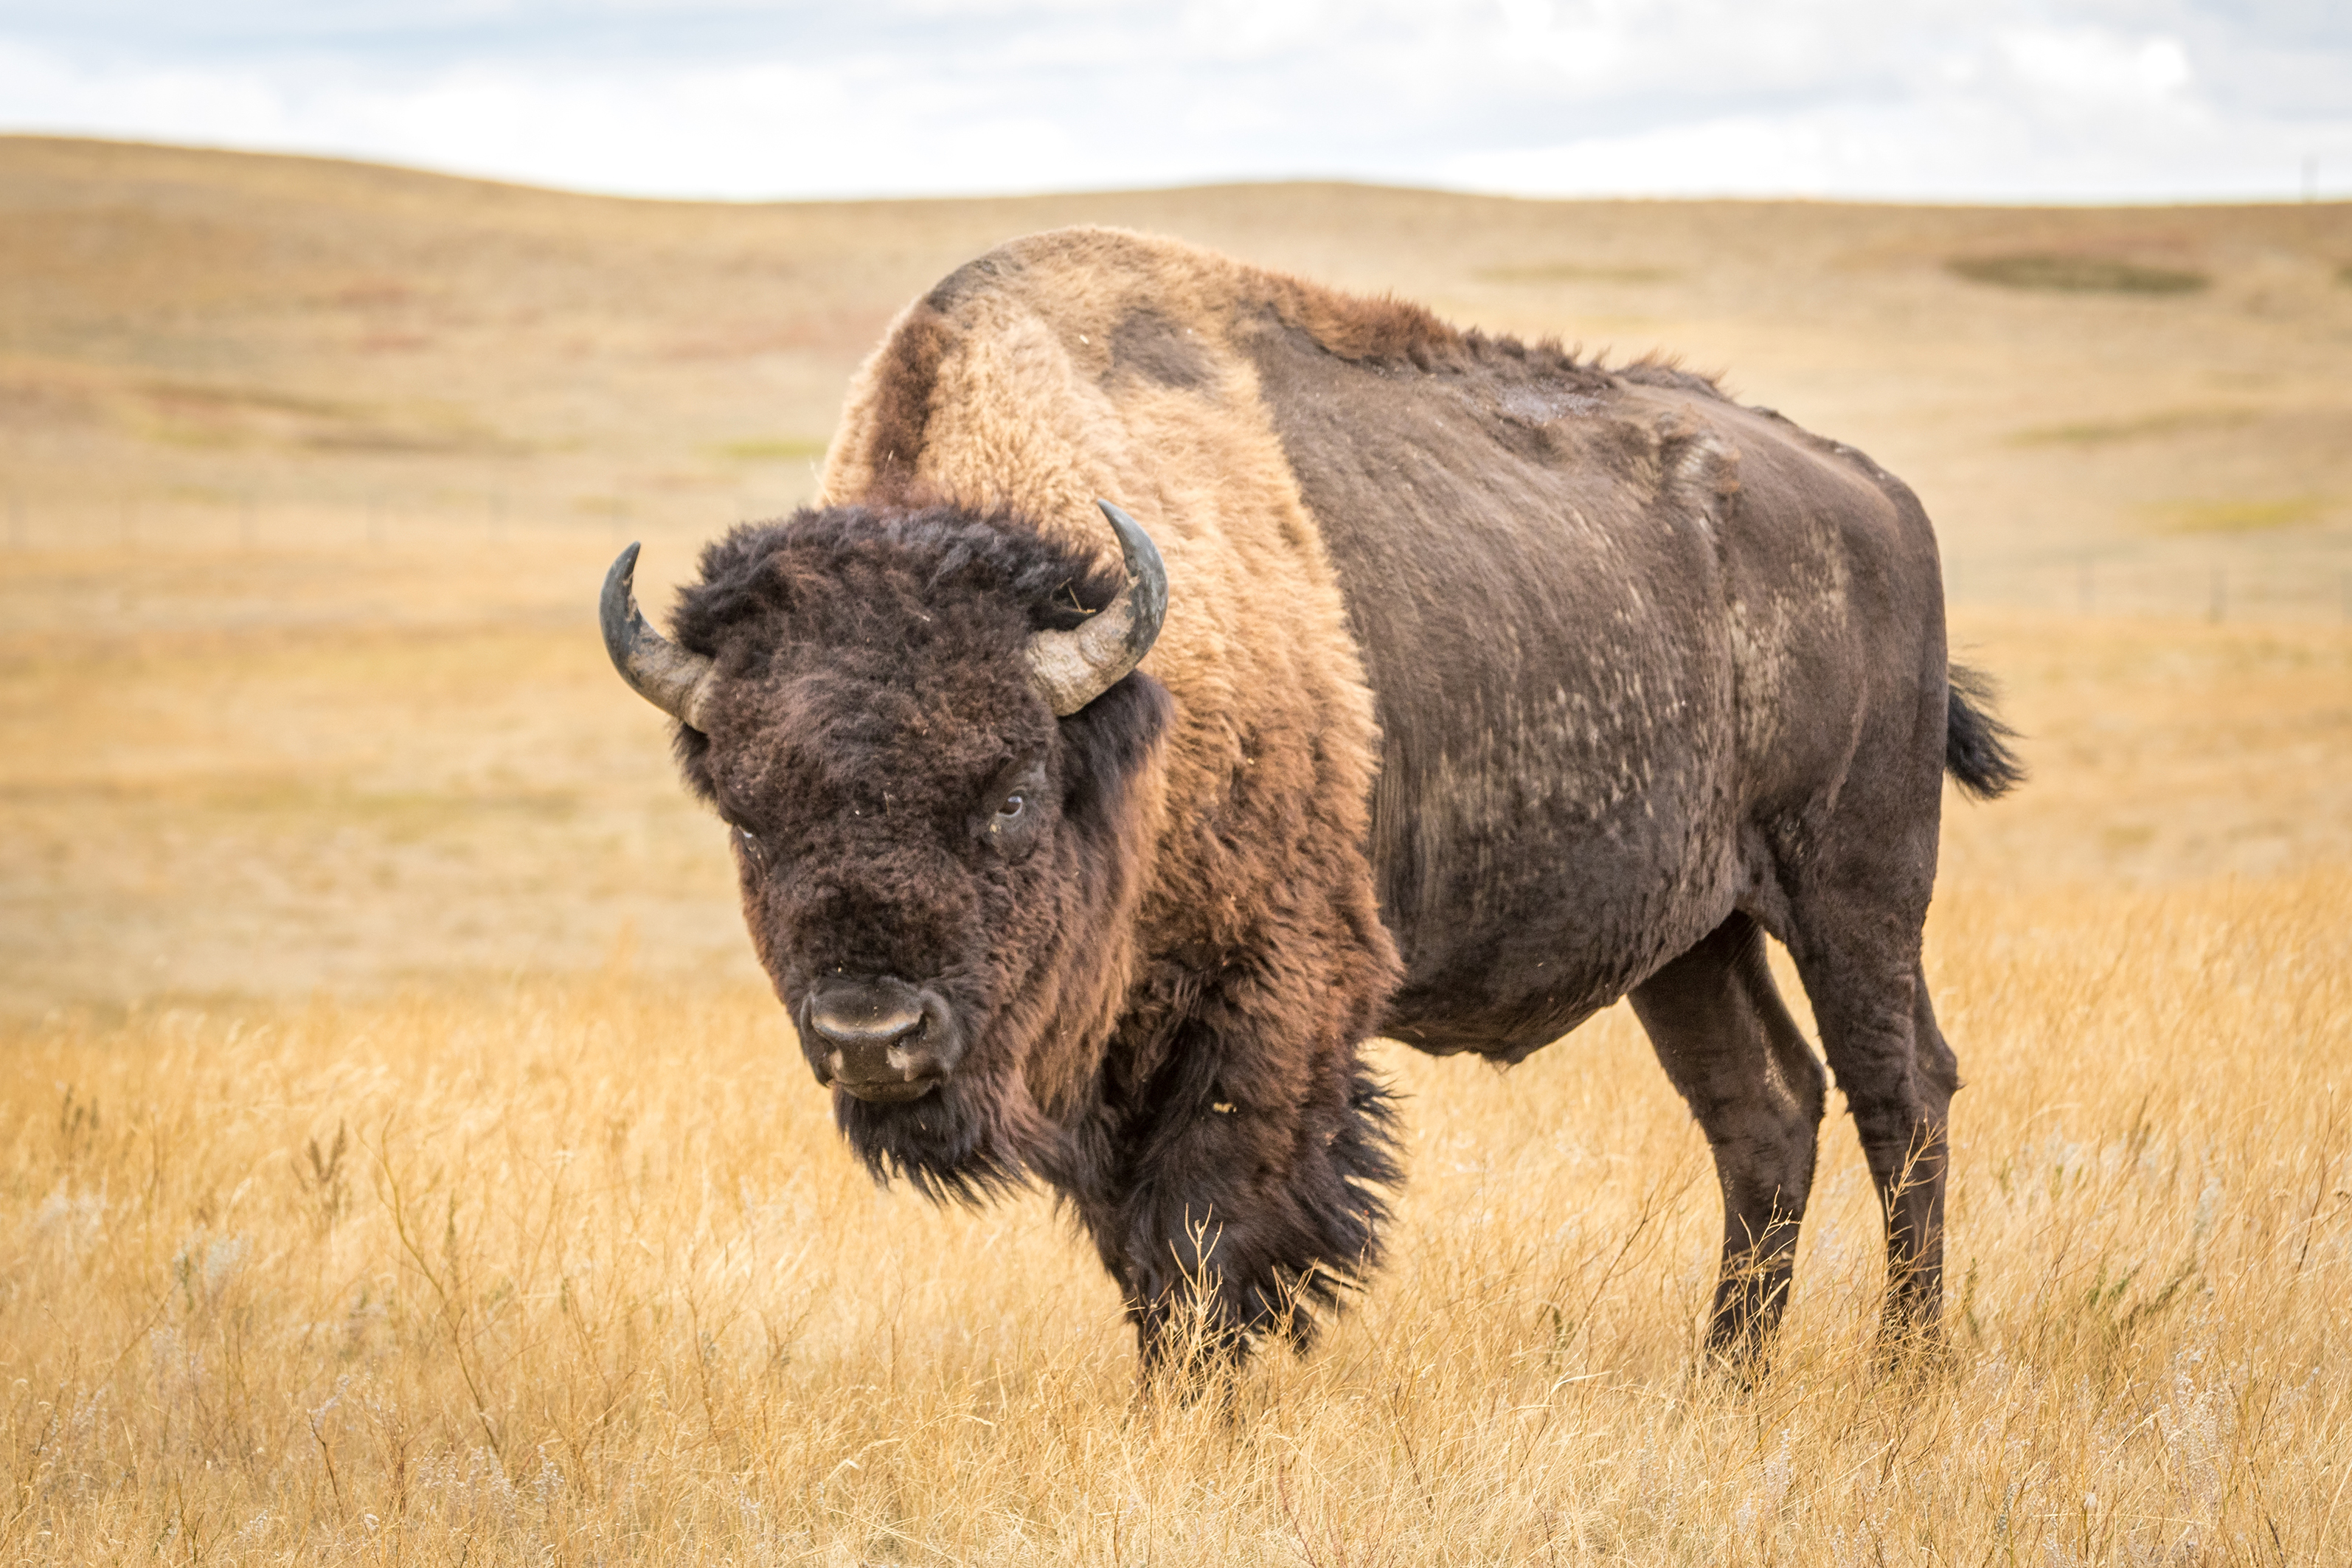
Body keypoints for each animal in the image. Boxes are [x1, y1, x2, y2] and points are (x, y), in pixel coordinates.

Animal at [597, 226, 2013, 1382]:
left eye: (1009, 794)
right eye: (746, 814)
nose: (870, 1032)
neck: (1126, 702)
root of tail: (1875, 495)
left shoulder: (1267, 997)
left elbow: (1211, 1233)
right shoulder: (1119, 1053)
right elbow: (1143, 1254)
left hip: (1853, 886)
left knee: (1901, 1092)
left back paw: (1901, 1366)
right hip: (1690, 938)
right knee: (1762, 1110)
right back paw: (1725, 1375)